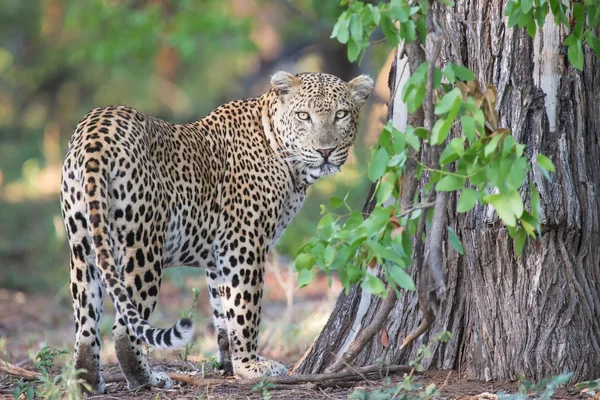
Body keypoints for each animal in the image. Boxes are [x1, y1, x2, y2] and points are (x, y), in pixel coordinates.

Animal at [59, 70, 370, 392]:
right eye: (303, 116)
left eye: (341, 114)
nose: (325, 151)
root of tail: (95, 130)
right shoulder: (244, 244)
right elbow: (245, 309)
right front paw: (250, 366)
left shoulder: (218, 256)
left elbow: (223, 310)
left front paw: (227, 363)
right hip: (143, 246)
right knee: (124, 327)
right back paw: (148, 380)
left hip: (82, 244)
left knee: (86, 323)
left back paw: (88, 382)